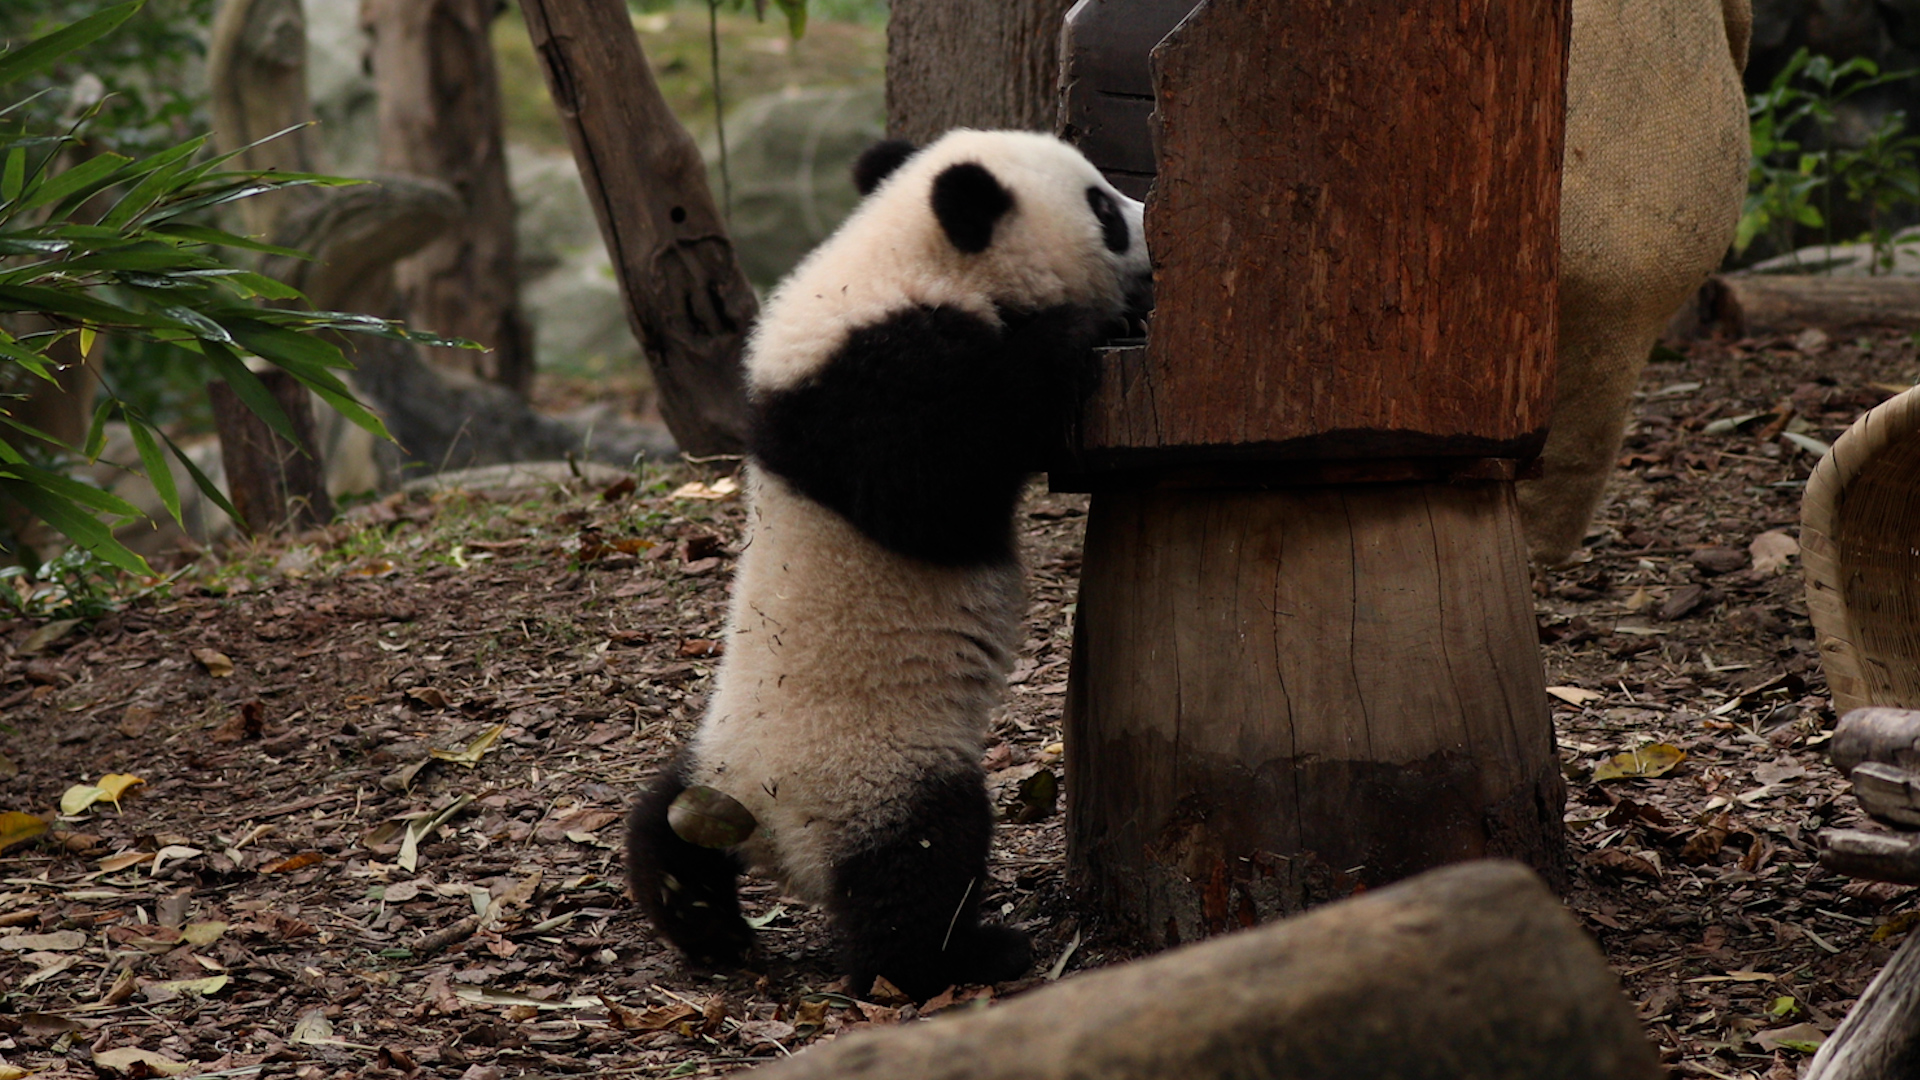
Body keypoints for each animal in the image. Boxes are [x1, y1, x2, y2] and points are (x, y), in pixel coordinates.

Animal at [625, 129, 1152, 1001]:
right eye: (1103, 208)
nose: (1151, 221)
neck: (898, 257)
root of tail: (761, 820)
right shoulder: (873, 382)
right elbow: (931, 481)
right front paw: (1074, 333)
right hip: (878, 773)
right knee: (917, 869)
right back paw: (964, 956)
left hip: (711, 760)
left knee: (657, 829)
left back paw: (707, 929)